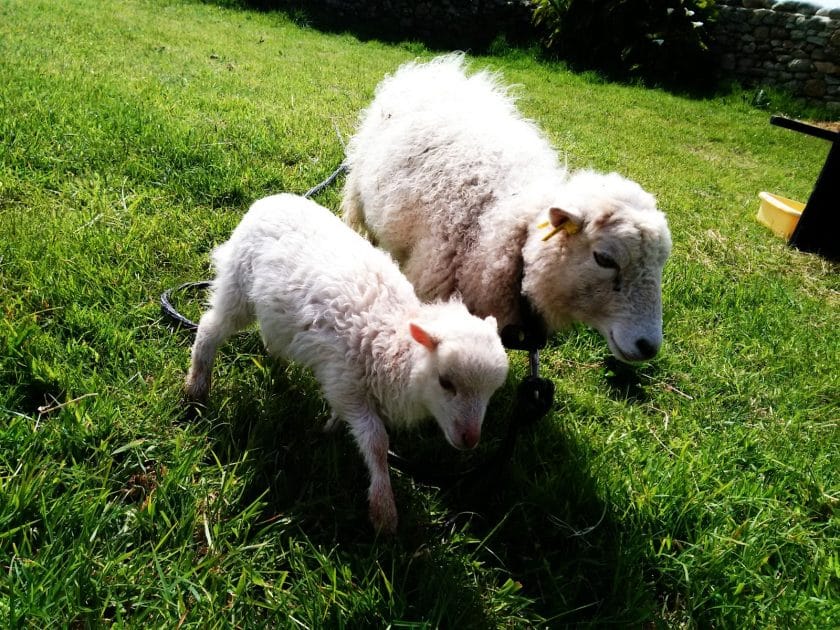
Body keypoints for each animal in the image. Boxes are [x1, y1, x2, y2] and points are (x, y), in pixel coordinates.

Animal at [184, 193, 509, 533]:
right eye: (446, 383)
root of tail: (271, 200)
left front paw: (330, 428)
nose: (470, 441)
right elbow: (377, 442)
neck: (393, 340)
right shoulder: (345, 382)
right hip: (237, 286)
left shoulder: (347, 387)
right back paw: (196, 388)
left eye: (491, 392)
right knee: (210, 327)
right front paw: (383, 510)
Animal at [342, 54, 672, 363]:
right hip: (358, 192)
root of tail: (437, 70)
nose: (648, 346)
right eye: (604, 258)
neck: (507, 223)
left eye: (661, 264)